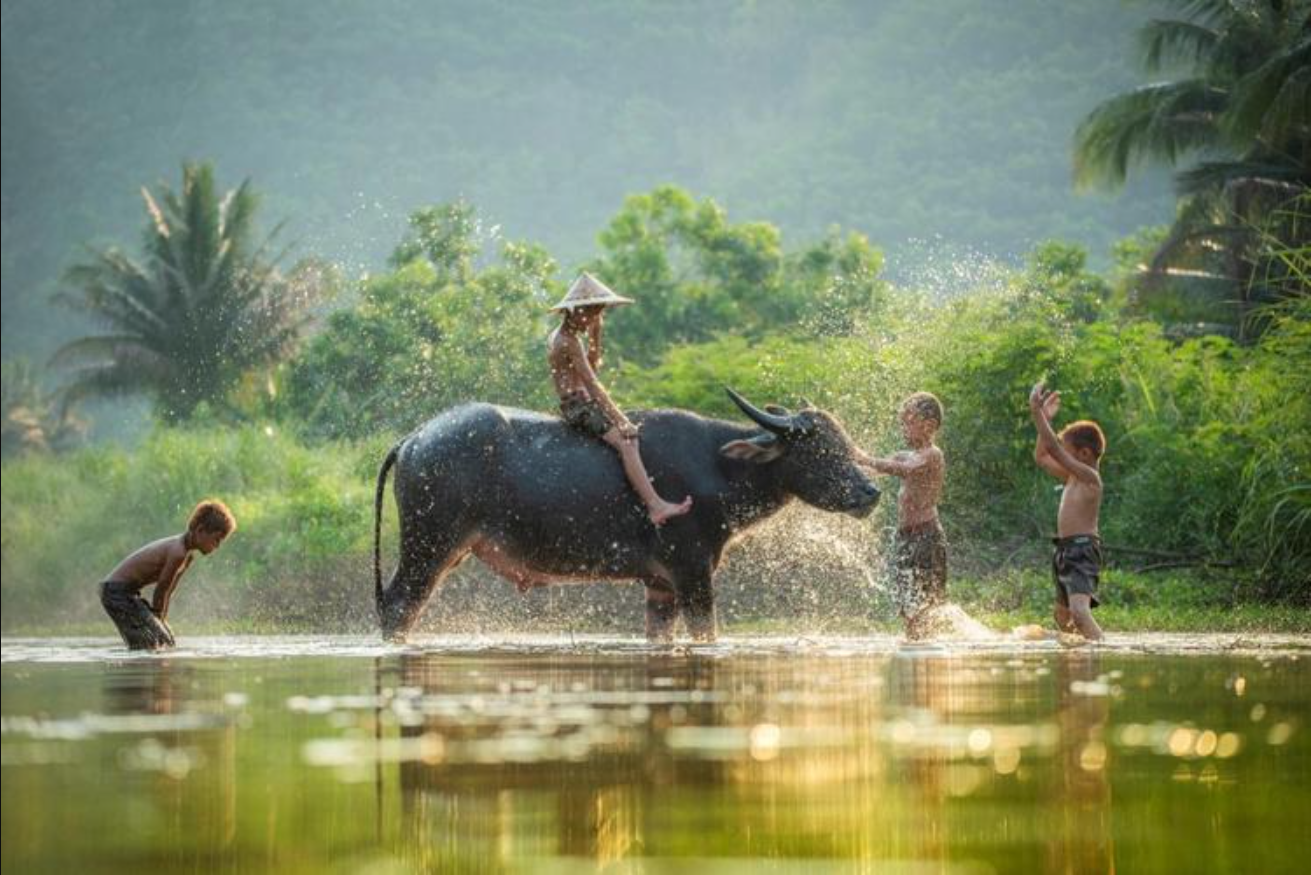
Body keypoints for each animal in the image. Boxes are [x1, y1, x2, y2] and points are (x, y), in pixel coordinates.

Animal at [372, 390, 880, 642]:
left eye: (844, 442)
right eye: (820, 450)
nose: (870, 491)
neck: (717, 466)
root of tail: (414, 438)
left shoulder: (661, 586)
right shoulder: (692, 572)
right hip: (427, 549)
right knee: (399, 607)